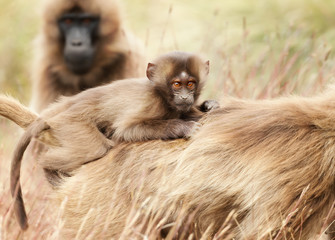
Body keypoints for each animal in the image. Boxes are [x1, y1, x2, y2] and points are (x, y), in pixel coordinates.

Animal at [5, 51, 219, 230]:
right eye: (176, 84)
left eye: (190, 84)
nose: (184, 97)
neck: (162, 95)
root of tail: (62, 107)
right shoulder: (152, 103)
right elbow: (127, 130)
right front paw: (184, 127)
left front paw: (208, 105)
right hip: (72, 122)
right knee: (95, 148)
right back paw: (48, 165)